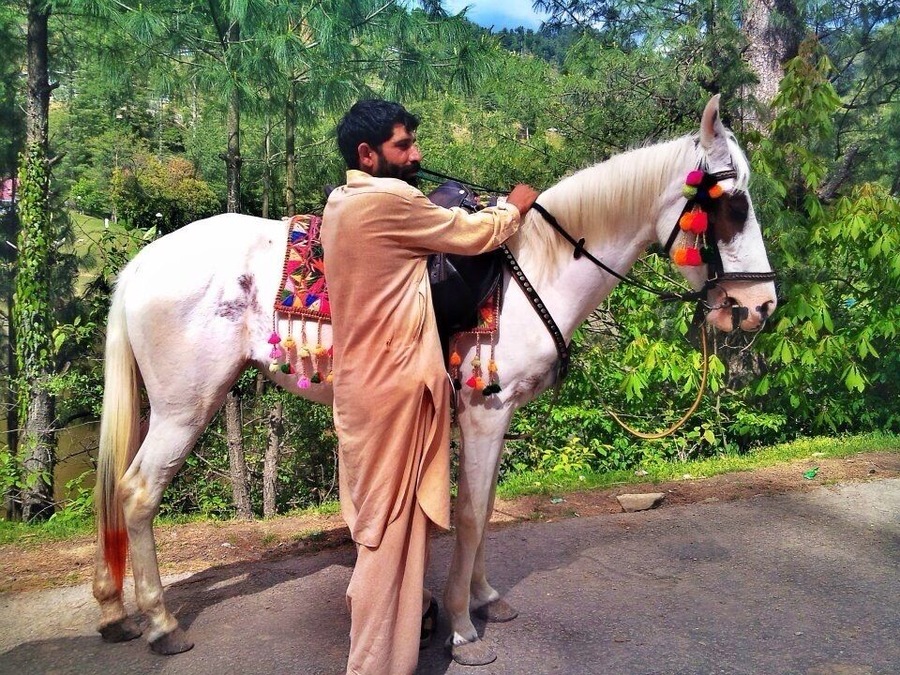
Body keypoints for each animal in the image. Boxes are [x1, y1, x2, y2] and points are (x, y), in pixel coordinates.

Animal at [92, 95, 777, 665]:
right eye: (734, 205)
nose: (760, 307)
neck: (534, 269)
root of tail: (140, 264)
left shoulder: (495, 413)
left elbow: (489, 505)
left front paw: (483, 597)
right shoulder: (484, 411)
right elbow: (470, 513)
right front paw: (462, 628)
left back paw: (116, 611)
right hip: (186, 407)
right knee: (138, 494)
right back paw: (160, 624)